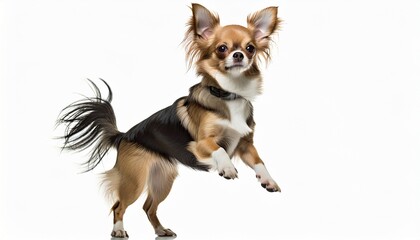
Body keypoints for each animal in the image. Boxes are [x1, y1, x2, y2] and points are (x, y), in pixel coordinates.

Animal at [58, 3, 282, 238]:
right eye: (222, 48)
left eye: (250, 48)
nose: (239, 55)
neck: (229, 93)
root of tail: (123, 135)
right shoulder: (201, 143)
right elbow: (219, 150)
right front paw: (227, 168)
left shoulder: (245, 144)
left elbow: (259, 161)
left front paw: (269, 180)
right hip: (135, 180)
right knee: (118, 206)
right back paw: (118, 230)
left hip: (162, 180)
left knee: (148, 207)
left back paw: (161, 230)